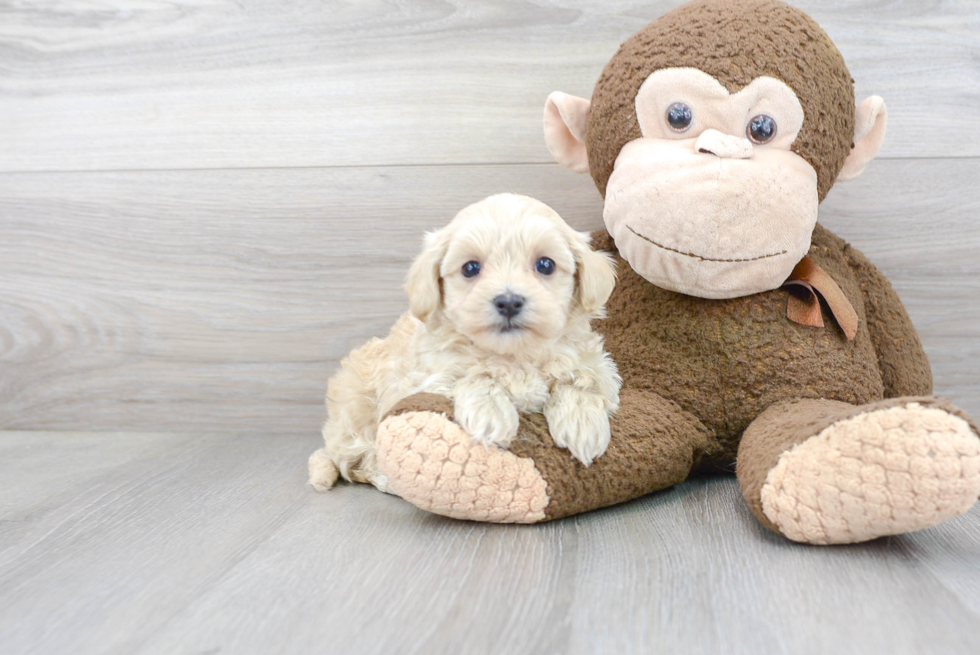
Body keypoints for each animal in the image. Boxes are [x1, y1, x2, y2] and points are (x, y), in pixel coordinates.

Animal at [306, 193, 620, 492]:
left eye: (545, 265)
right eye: (470, 268)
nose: (508, 301)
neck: (513, 354)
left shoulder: (597, 365)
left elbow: (580, 381)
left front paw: (581, 423)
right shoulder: (427, 378)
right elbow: (473, 376)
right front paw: (491, 415)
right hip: (357, 414)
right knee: (355, 461)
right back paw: (384, 479)